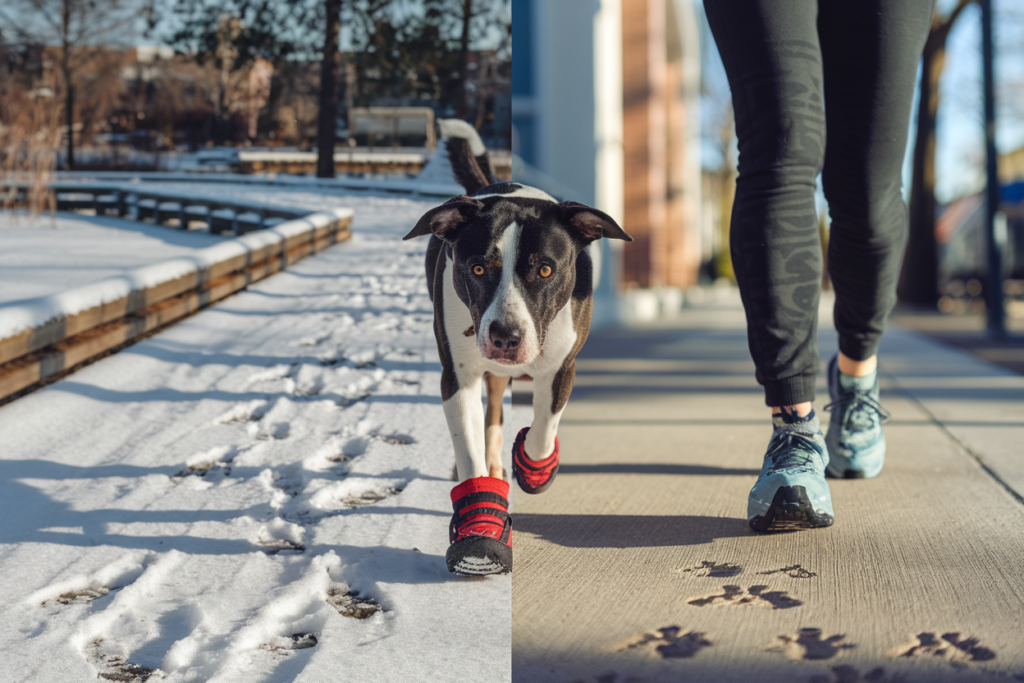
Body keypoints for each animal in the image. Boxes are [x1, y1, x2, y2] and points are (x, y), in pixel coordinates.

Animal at [403, 124, 626, 577]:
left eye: (545, 269)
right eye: (476, 268)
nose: (505, 336)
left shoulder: (562, 367)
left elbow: (542, 430)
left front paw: (532, 464)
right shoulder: (457, 376)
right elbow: (469, 444)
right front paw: (479, 528)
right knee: (488, 418)